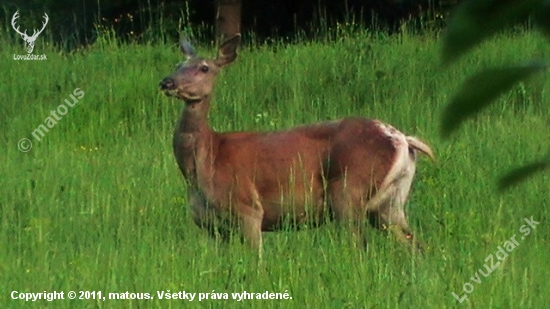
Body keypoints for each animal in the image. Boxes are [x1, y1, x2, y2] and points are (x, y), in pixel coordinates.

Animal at [158, 33, 436, 255]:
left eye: (204, 68)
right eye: (177, 64)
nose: (167, 82)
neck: (207, 158)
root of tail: (403, 139)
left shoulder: (247, 207)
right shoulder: (210, 226)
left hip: (349, 190)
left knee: (360, 246)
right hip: (390, 203)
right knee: (416, 246)